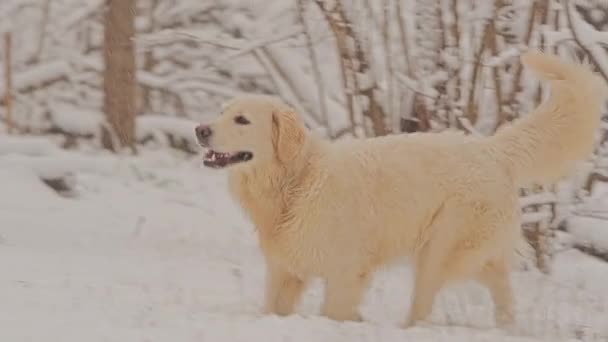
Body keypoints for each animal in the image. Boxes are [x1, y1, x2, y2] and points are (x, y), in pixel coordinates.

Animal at [197, 52, 604, 328]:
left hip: (438, 251)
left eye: (242, 120)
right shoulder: (285, 272)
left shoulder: (345, 272)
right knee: (501, 290)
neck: (297, 182)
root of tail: (490, 148)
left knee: (424, 306)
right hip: (470, 254)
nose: (200, 129)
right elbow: (273, 309)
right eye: (222, 111)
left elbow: (334, 312)